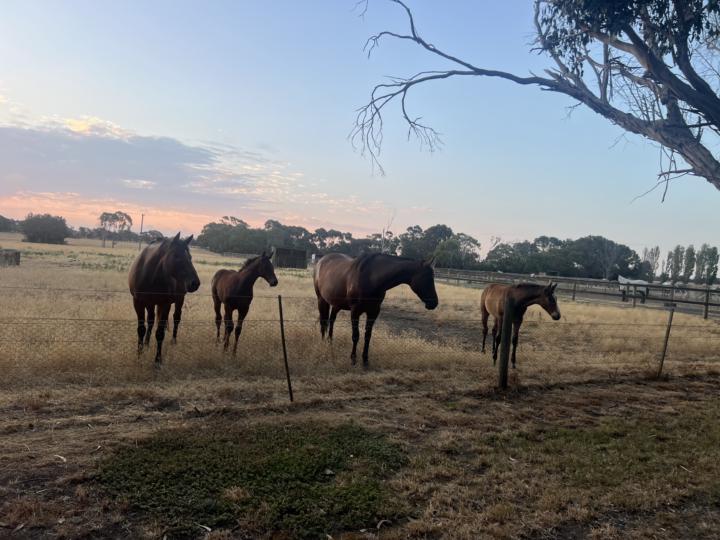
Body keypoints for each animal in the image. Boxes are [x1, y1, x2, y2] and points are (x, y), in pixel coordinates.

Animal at [128, 233, 200, 365]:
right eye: (177, 256)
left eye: (190, 257)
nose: (195, 283)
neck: (150, 274)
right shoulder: (138, 302)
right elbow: (141, 329)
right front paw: (139, 355)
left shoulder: (165, 304)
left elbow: (160, 333)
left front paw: (157, 361)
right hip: (151, 303)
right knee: (151, 320)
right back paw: (147, 343)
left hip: (179, 300)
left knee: (176, 318)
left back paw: (173, 341)